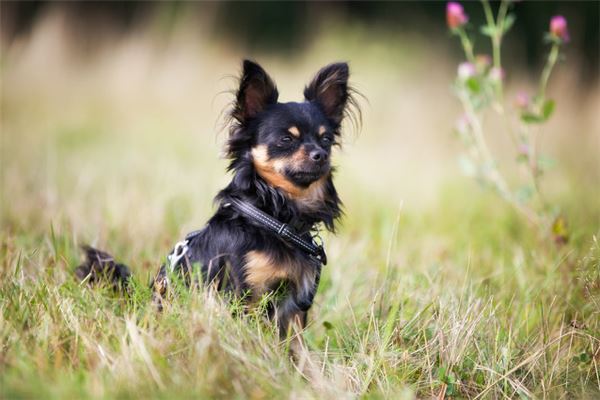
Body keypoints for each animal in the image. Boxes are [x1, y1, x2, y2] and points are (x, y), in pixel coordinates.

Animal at [75, 60, 356, 354]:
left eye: (325, 140)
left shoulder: (293, 306)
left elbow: (297, 349)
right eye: (286, 140)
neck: (275, 218)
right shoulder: (244, 296)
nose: (320, 155)